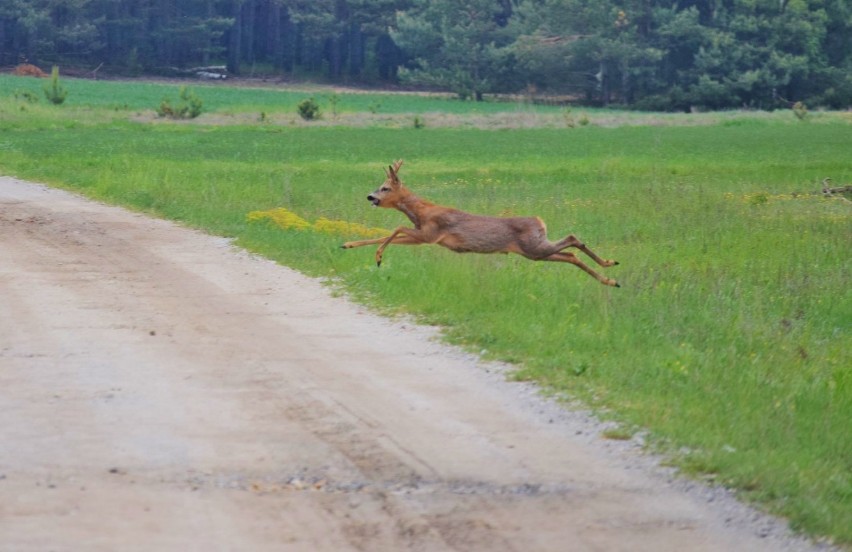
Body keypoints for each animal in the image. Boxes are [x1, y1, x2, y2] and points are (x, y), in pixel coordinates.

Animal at [342, 160, 624, 286]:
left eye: (385, 187)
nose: (370, 196)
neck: (422, 212)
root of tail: (539, 220)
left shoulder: (431, 233)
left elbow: (396, 228)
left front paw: (378, 257)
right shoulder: (426, 237)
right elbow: (390, 233)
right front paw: (347, 244)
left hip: (534, 247)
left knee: (573, 240)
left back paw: (610, 268)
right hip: (534, 251)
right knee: (570, 254)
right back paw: (610, 277)